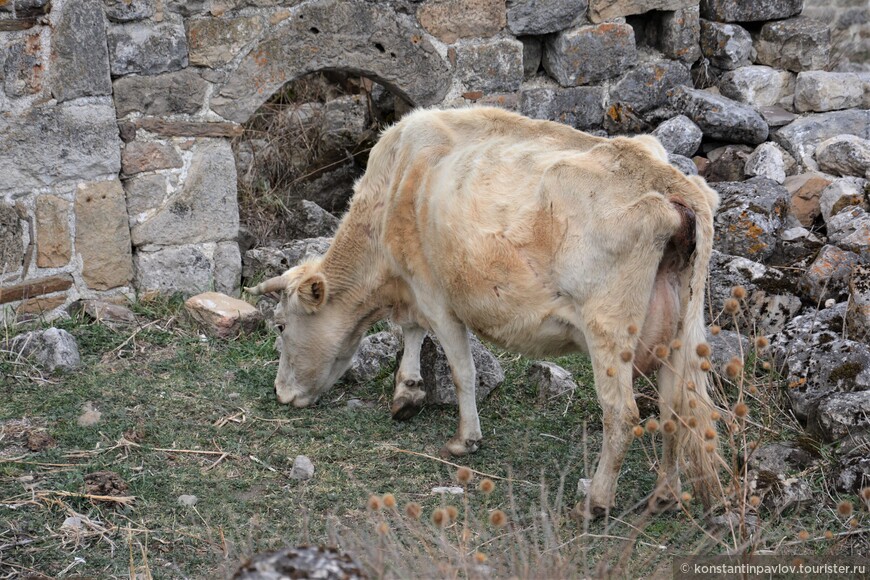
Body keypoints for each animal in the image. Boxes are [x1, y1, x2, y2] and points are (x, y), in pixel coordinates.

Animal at [245, 107, 724, 516]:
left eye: (281, 326)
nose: (280, 393)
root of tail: (672, 185)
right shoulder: (416, 288)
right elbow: (412, 332)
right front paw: (408, 391)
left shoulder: (436, 295)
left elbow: (461, 369)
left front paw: (464, 439)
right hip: (679, 330)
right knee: (677, 408)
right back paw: (663, 497)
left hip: (608, 327)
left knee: (623, 414)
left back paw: (596, 502)